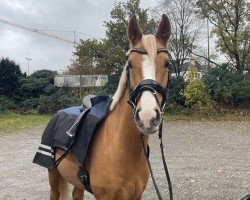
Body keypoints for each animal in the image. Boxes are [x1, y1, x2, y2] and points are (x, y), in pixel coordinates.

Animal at [48, 14, 172, 200]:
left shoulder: (137, 196)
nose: (147, 117)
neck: (120, 148)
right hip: (53, 176)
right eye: (130, 64)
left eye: (167, 64)